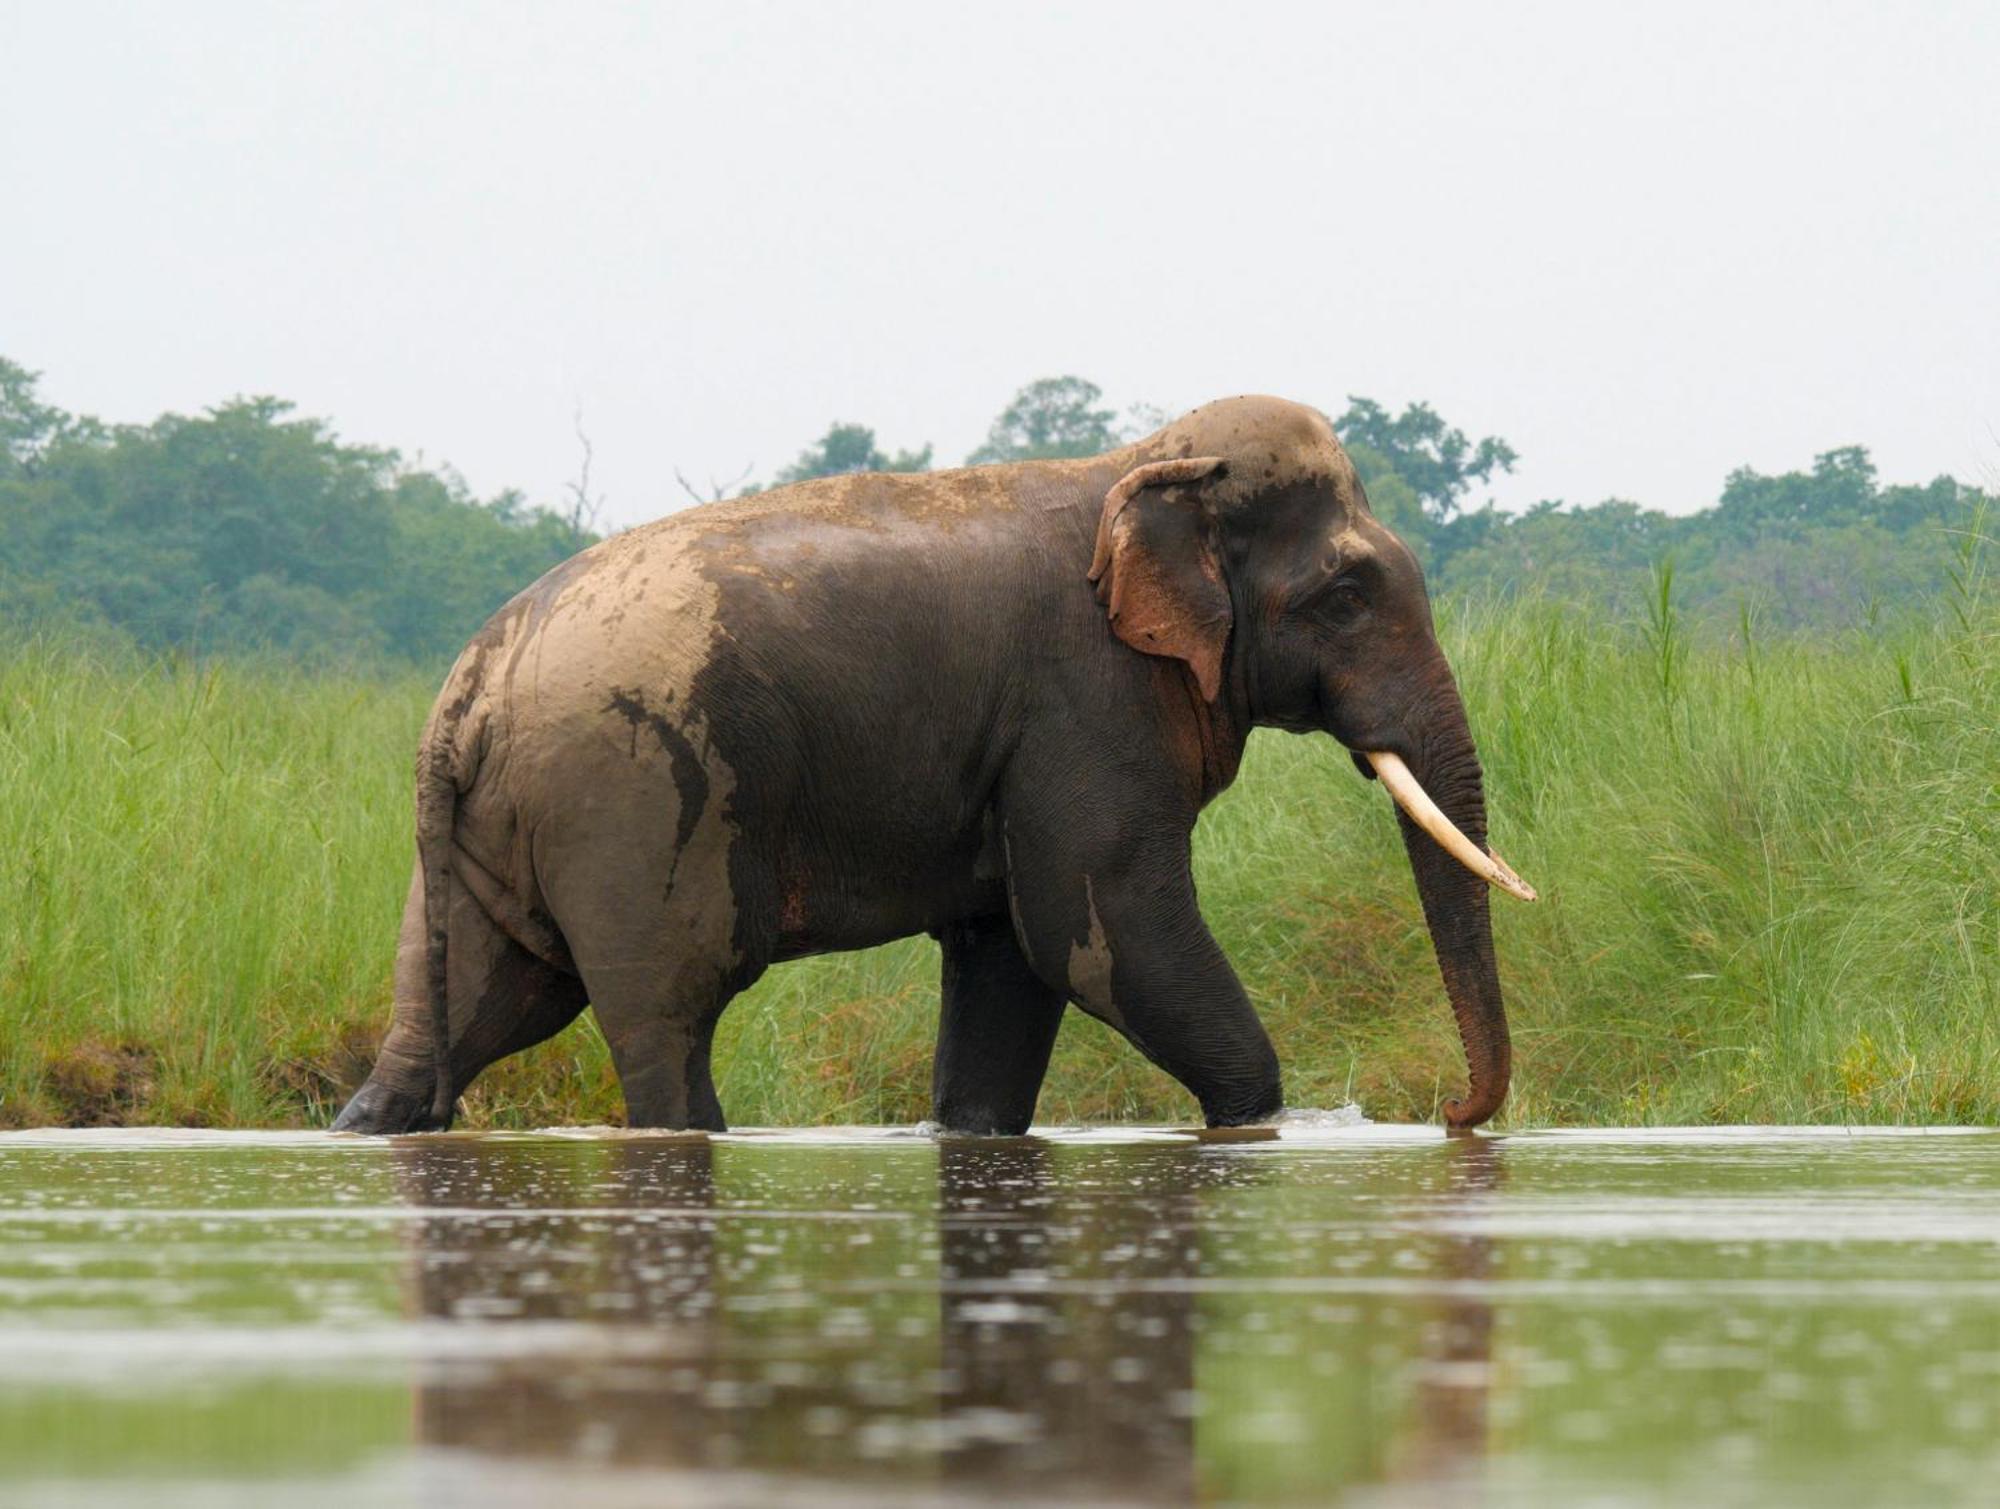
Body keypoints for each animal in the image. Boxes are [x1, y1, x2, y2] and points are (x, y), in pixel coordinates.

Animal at [336, 394, 1536, 1136]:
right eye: (1346, 596)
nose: (1449, 1115)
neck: (1139, 463)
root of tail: (466, 690)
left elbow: (1009, 954)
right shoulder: (1083, 702)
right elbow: (1102, 933)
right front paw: (1261, 1122)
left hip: (487, 835)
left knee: (467, 1016)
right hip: (629, 802)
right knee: (665, 1024)